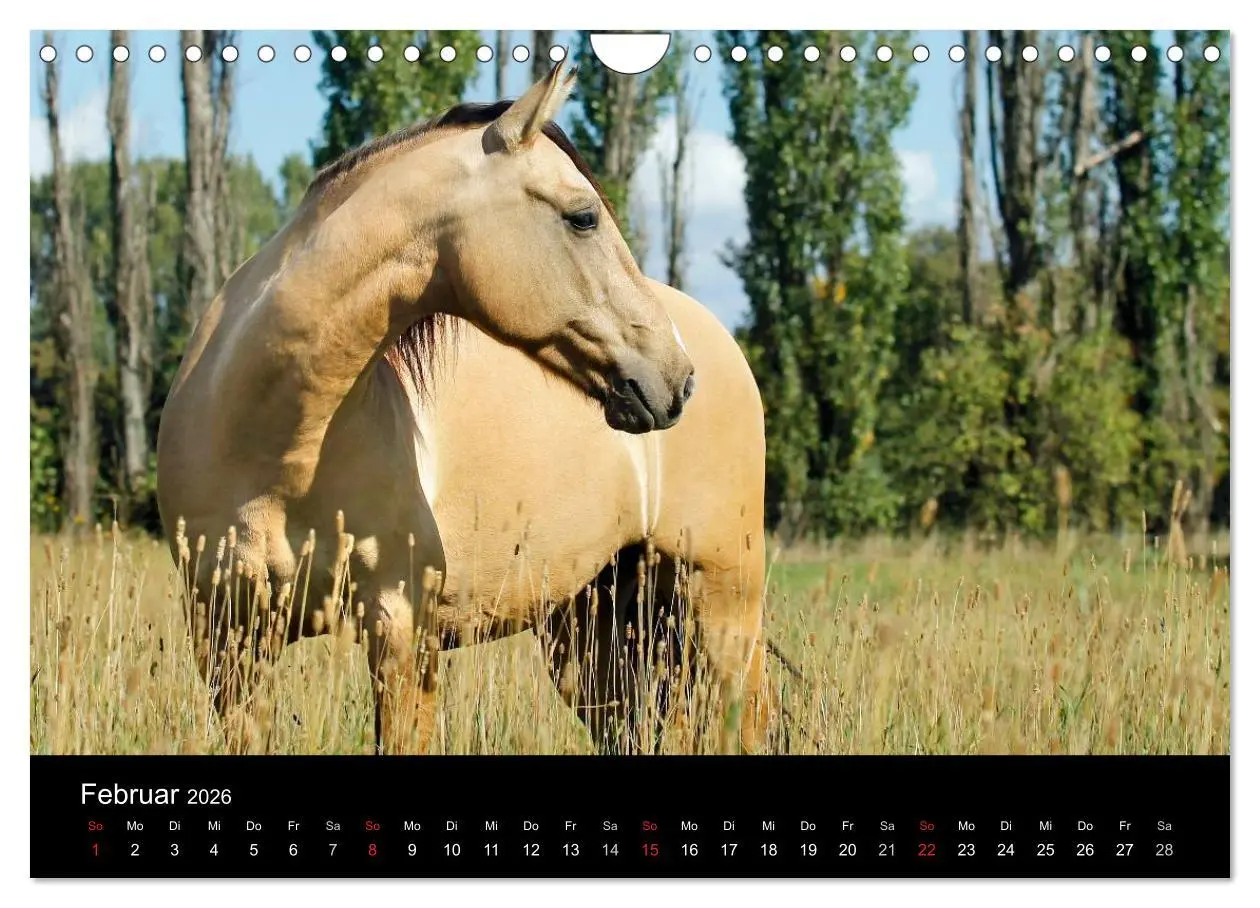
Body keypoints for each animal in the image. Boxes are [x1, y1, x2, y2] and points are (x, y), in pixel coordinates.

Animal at [156, 62, 772, 755]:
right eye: (584, 216)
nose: (676, 380)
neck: (273, 446)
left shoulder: (400, 631)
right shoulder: (226, 640)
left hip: (724, 605)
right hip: (593, 631)